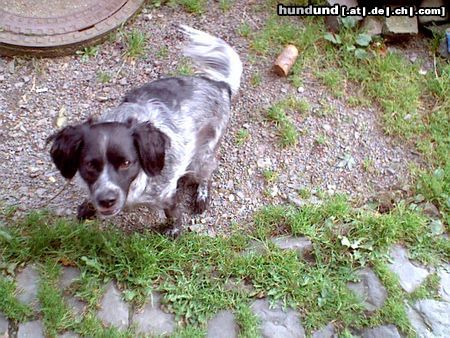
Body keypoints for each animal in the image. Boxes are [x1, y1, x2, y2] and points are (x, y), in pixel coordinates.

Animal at [48, 25, 243, 236]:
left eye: (126, 162)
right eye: (89, 164)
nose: (107, 200)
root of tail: (220, 85)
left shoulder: (166, 194)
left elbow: (174, 215)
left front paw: (173, 231)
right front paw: (88, 206)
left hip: (203, 156)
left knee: (207, 174)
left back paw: (202, 195)